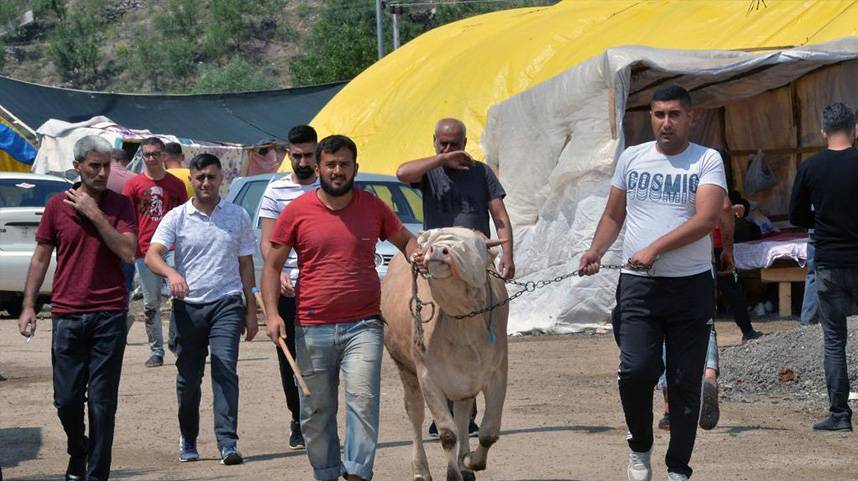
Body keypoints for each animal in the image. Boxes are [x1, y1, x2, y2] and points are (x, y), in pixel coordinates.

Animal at [378, 227, 504, 480]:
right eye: (430, 243)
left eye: (475, 243)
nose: (437, 250)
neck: (463, 324)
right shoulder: (428, 377)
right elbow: (448, 434)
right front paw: (453, 473)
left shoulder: (497, 373)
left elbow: (488, 432)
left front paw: (470, 461)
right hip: (405, 368)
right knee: (415, 413)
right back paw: (421, 469)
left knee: (463, 413)